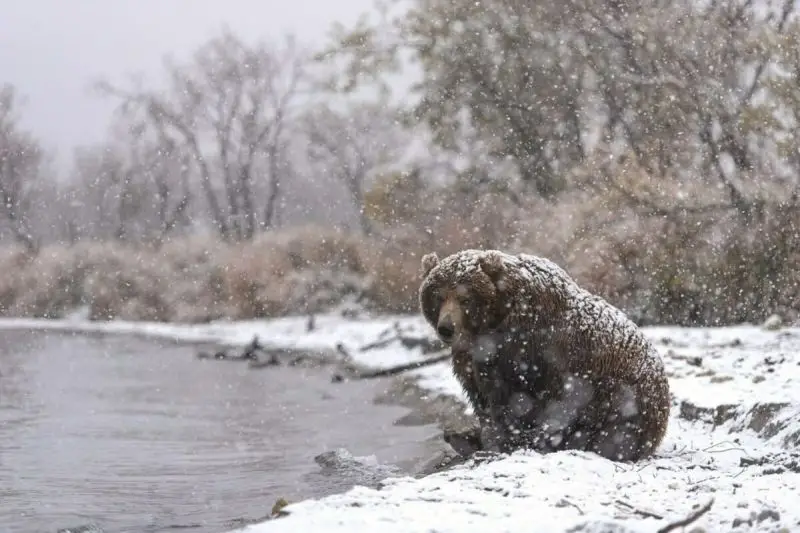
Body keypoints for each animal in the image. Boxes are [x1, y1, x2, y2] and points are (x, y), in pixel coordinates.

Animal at [418, 249, 671, 462]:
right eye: (438, 296)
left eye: (465, 298)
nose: (446, 328)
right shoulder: (471, 358)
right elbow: (481, 396)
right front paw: (477, 434)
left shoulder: (526, 348)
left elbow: (516, 398)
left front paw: (502, 441)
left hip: (623, 392)